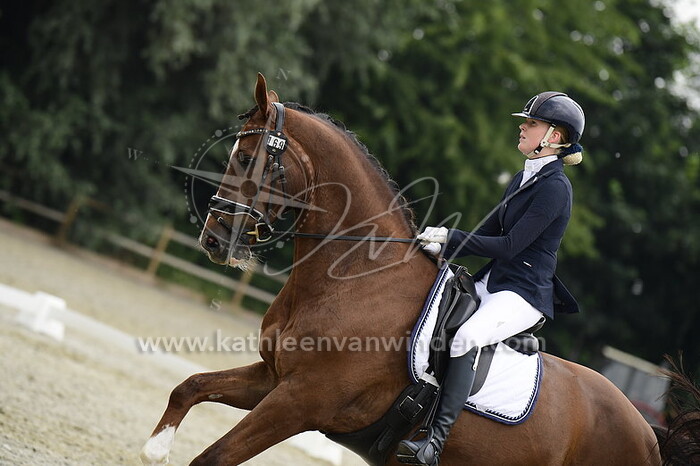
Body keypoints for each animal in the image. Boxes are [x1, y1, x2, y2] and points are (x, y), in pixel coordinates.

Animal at [141, 73, 664, 465]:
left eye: (247, 158)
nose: (212, 239)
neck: (356, 281)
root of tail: (648, 434)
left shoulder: (301, 401)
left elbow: (212, 457)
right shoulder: (272, 379)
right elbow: (189, 387)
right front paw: (155, 448)